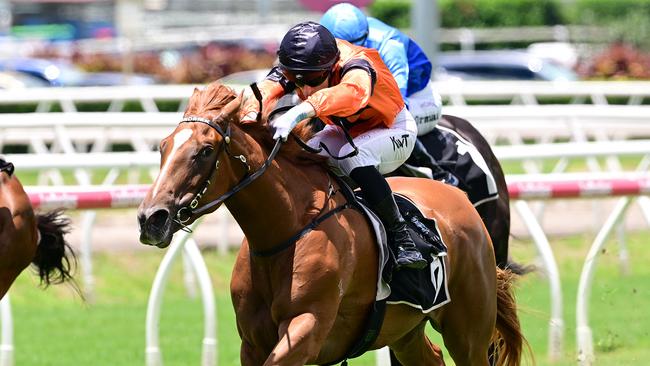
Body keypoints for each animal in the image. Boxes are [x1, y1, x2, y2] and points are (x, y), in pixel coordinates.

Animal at [138, 83, 528, 366]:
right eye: (163, 146)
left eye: (205, 151)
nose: (151, 218)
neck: (285, 232)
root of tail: (461, 200)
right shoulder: (252, 342)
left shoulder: (307, 330)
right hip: (406, 331)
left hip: (468, 330)